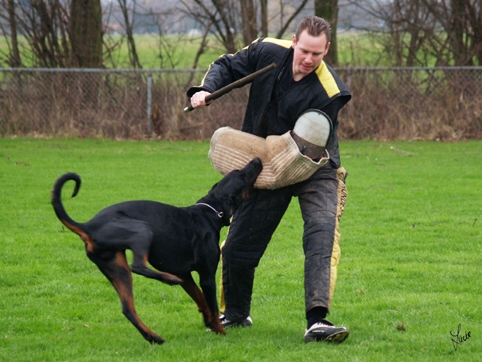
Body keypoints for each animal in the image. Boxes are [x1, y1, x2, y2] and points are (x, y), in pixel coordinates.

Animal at [50, 157, 262, 344]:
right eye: (242, 175)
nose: (257, 160)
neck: (208, 212)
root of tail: (88, 226)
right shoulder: (207, 276)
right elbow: (212, 305)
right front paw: (220, 331)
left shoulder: (185, 275)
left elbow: (200, 299)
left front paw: (207, 320)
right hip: (142, 230)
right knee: (138, 266)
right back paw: (168, 280)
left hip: (116, 267)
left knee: (128, 308)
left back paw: (153, 336)